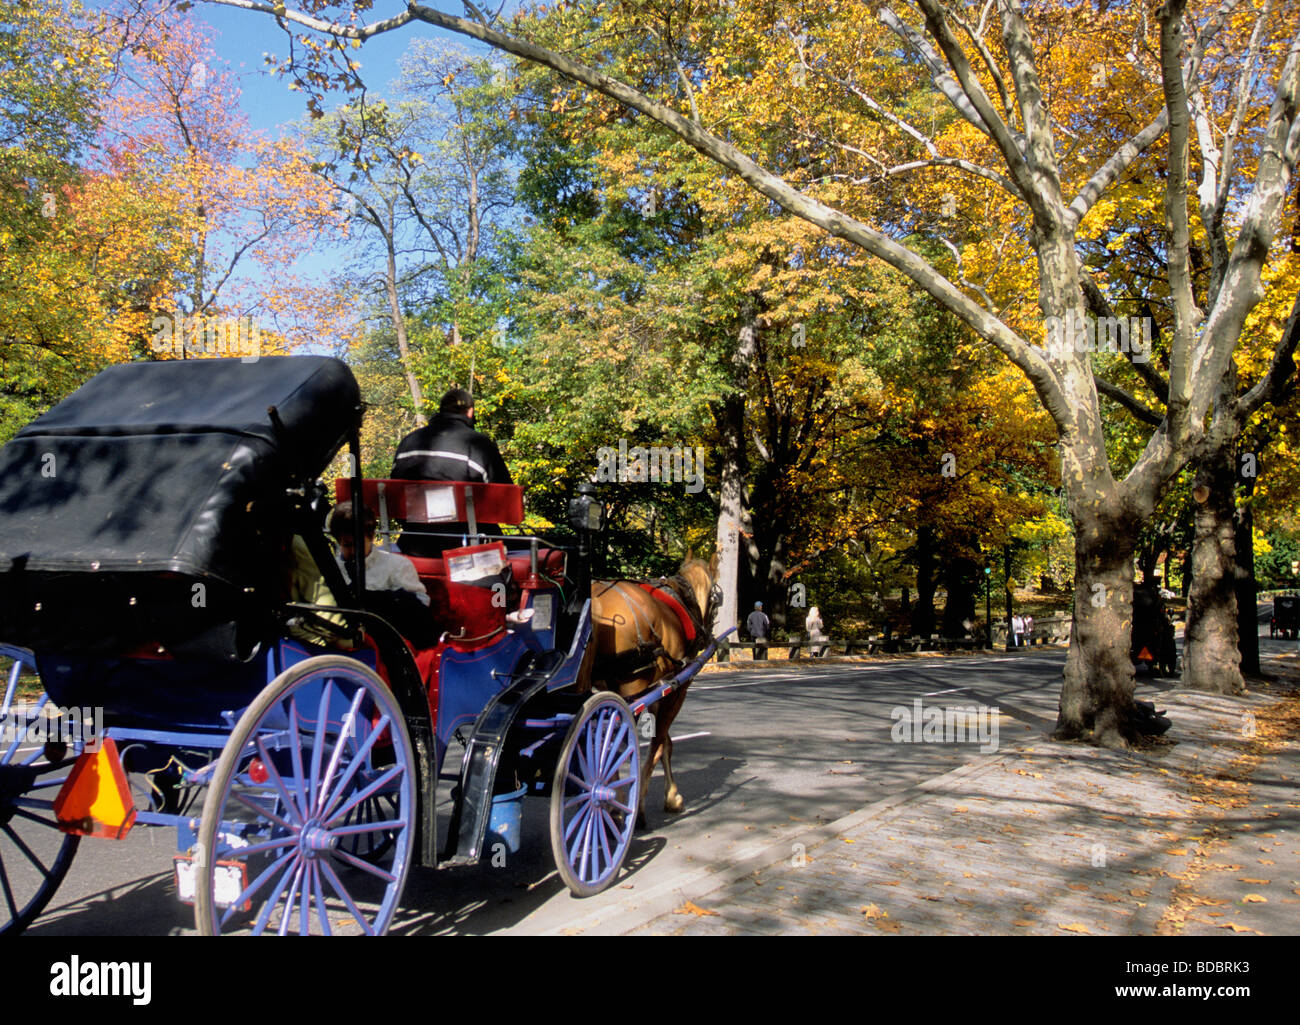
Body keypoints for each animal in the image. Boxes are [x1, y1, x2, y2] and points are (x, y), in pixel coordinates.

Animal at [590, 556, 722, 827]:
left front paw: (670, 797)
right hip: (634, 686)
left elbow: (663, 743)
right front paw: (649, 803)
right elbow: (659, 743)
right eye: (716, 601)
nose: (709, 636)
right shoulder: (675, 690)